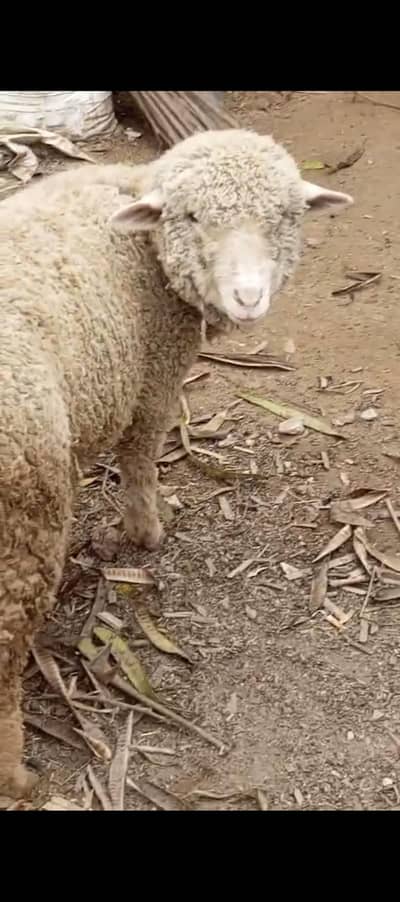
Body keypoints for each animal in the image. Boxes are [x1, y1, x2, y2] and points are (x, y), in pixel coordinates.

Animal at [0, 128, 353, 797]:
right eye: (191, 217)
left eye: (285, 216)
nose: (248, 298)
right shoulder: (154, 377)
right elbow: (140, 458)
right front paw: (145, 531)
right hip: (22, 523)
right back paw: (15, 773)